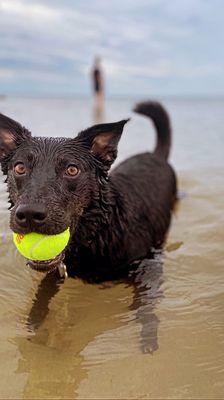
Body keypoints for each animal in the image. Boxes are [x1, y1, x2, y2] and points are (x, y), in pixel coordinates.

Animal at [0, 101, 177, 282]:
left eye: (72, 170)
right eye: (20, 168)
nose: (29, 214)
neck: (100, 229)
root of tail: (155, 155)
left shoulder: (146, 266)